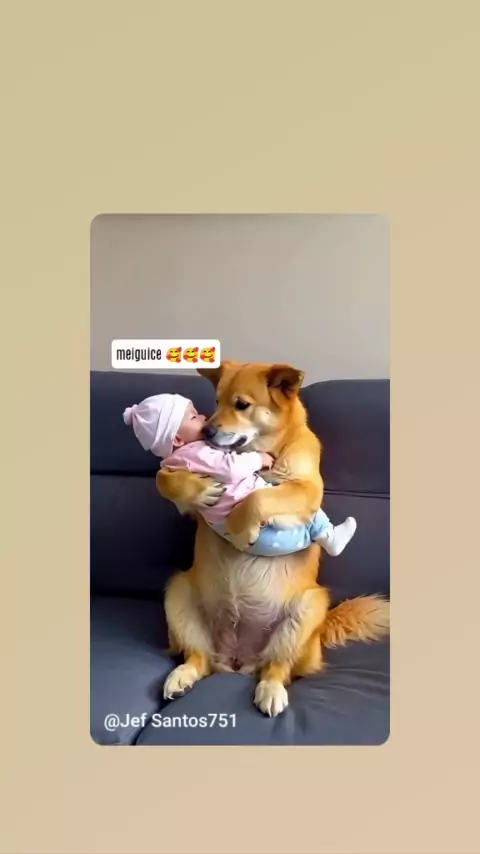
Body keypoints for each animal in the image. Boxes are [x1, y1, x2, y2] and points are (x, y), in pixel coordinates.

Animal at [156, 359, 389, 716]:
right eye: (216, 401)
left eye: (241, 404)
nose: (206, 431)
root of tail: (237, 661)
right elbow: (163, 478)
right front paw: (200, 490)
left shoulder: (307, 491)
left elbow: (259, 497)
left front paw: (242, 527)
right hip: (178, 591)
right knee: (198, 656)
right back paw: (182, 675)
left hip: (308, 608)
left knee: (278, 667)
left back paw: (271, 690)